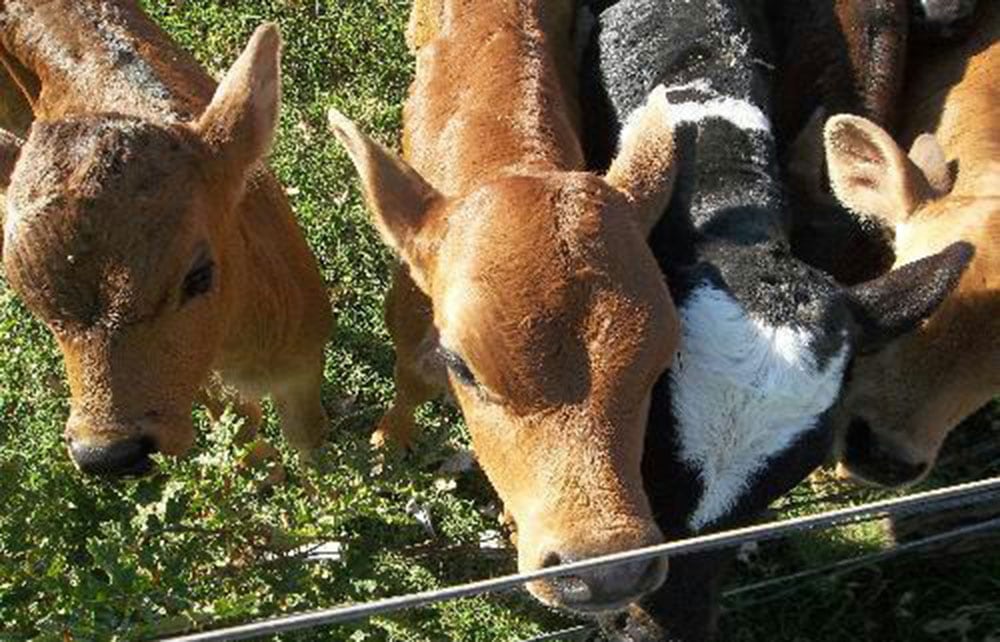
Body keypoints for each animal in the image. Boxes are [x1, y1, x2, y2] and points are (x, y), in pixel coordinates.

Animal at [0, 1, 334, 476]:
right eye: (31, 299)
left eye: (198, 274)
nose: (108, 454)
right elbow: (250, 447)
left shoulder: (304, 355)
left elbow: (309, 444)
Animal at [328, 0, 680, 608]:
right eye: (463, 366)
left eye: (661, 363)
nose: (607, 571)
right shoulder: (408, 300)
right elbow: (410, 375)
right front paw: (387, 444)